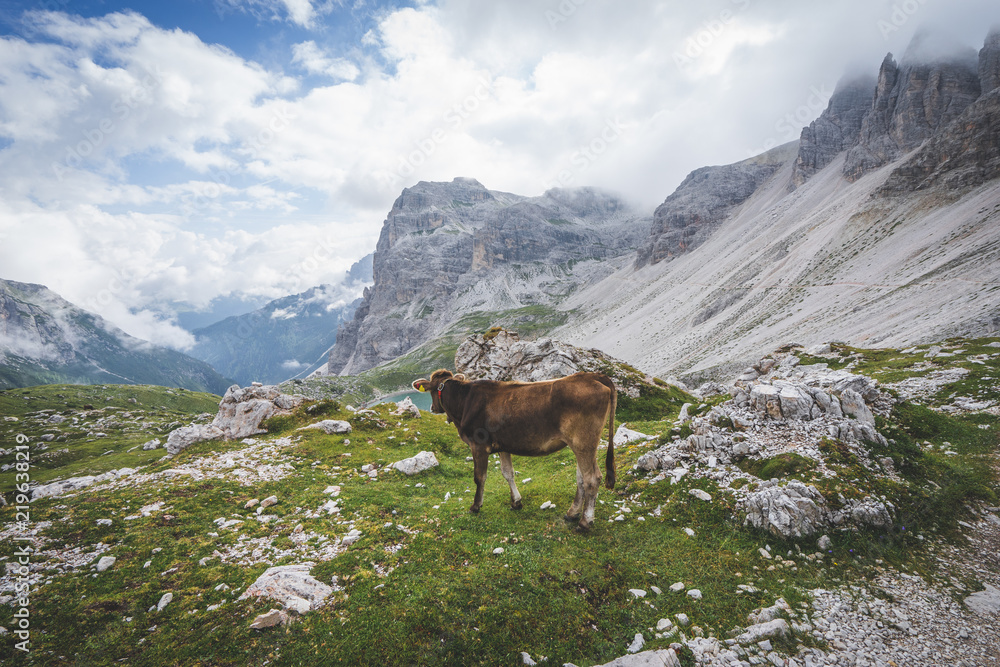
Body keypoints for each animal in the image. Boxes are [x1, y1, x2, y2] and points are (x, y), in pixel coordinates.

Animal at [408, 368, 612, 528]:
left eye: (431, 390)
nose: (433, 408)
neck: (464, 402)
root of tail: (592, 376)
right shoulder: (503, 445)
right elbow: (508, 473)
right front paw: (516, 502)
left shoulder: (478, 445)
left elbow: (479, 477)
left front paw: (475, 506)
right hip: (581, 444)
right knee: (581, 478)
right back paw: (572, 513)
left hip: (583, 442)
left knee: (592, 478)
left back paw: (585, 522)